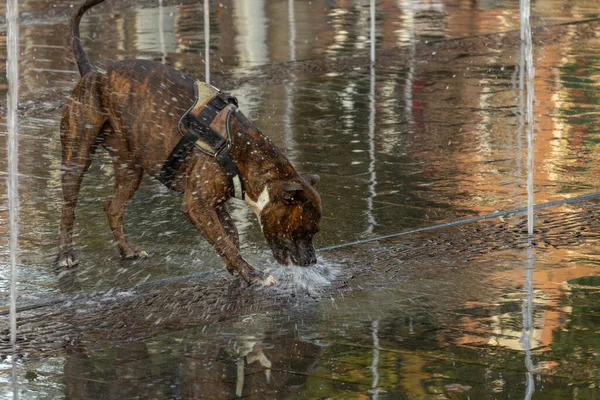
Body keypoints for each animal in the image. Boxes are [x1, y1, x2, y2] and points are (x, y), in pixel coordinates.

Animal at [57, 0, 324, 284]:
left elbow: (230, 236)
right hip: (77, 155)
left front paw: (236, 268)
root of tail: (91, 72)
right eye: (302, 231)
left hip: (129, 168)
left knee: (113, 206)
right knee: (68, 207)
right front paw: (253, 274)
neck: (242, 151)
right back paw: (65, 255)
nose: (312, 260)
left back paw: (127, 249)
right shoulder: (197, 205)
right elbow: (224, 241)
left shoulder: (215, 203)